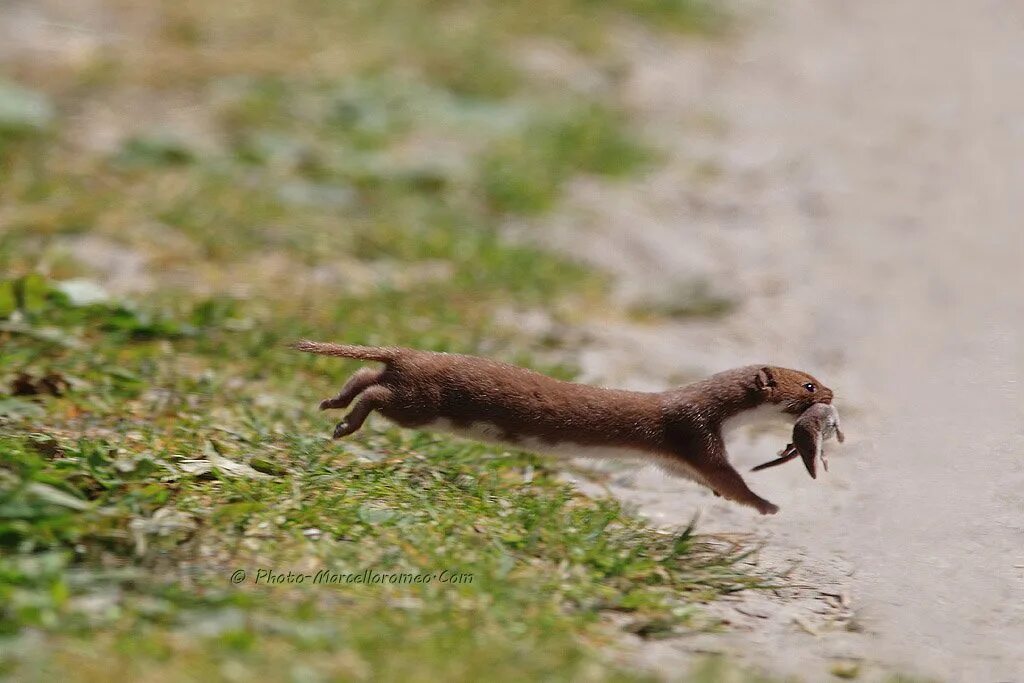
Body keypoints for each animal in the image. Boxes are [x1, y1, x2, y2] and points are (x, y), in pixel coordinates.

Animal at [288, 339, 831, 516]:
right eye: (808, 384)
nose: (831, 395)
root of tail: (410, 351)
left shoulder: (677, 457)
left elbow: (694, 475)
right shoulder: (694, 431)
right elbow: (726, 475)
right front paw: (767, 504)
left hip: (409, 384)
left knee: (367, 375)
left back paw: (333, 401)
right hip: (422, 402)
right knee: (378, 392)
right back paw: (345, 422)